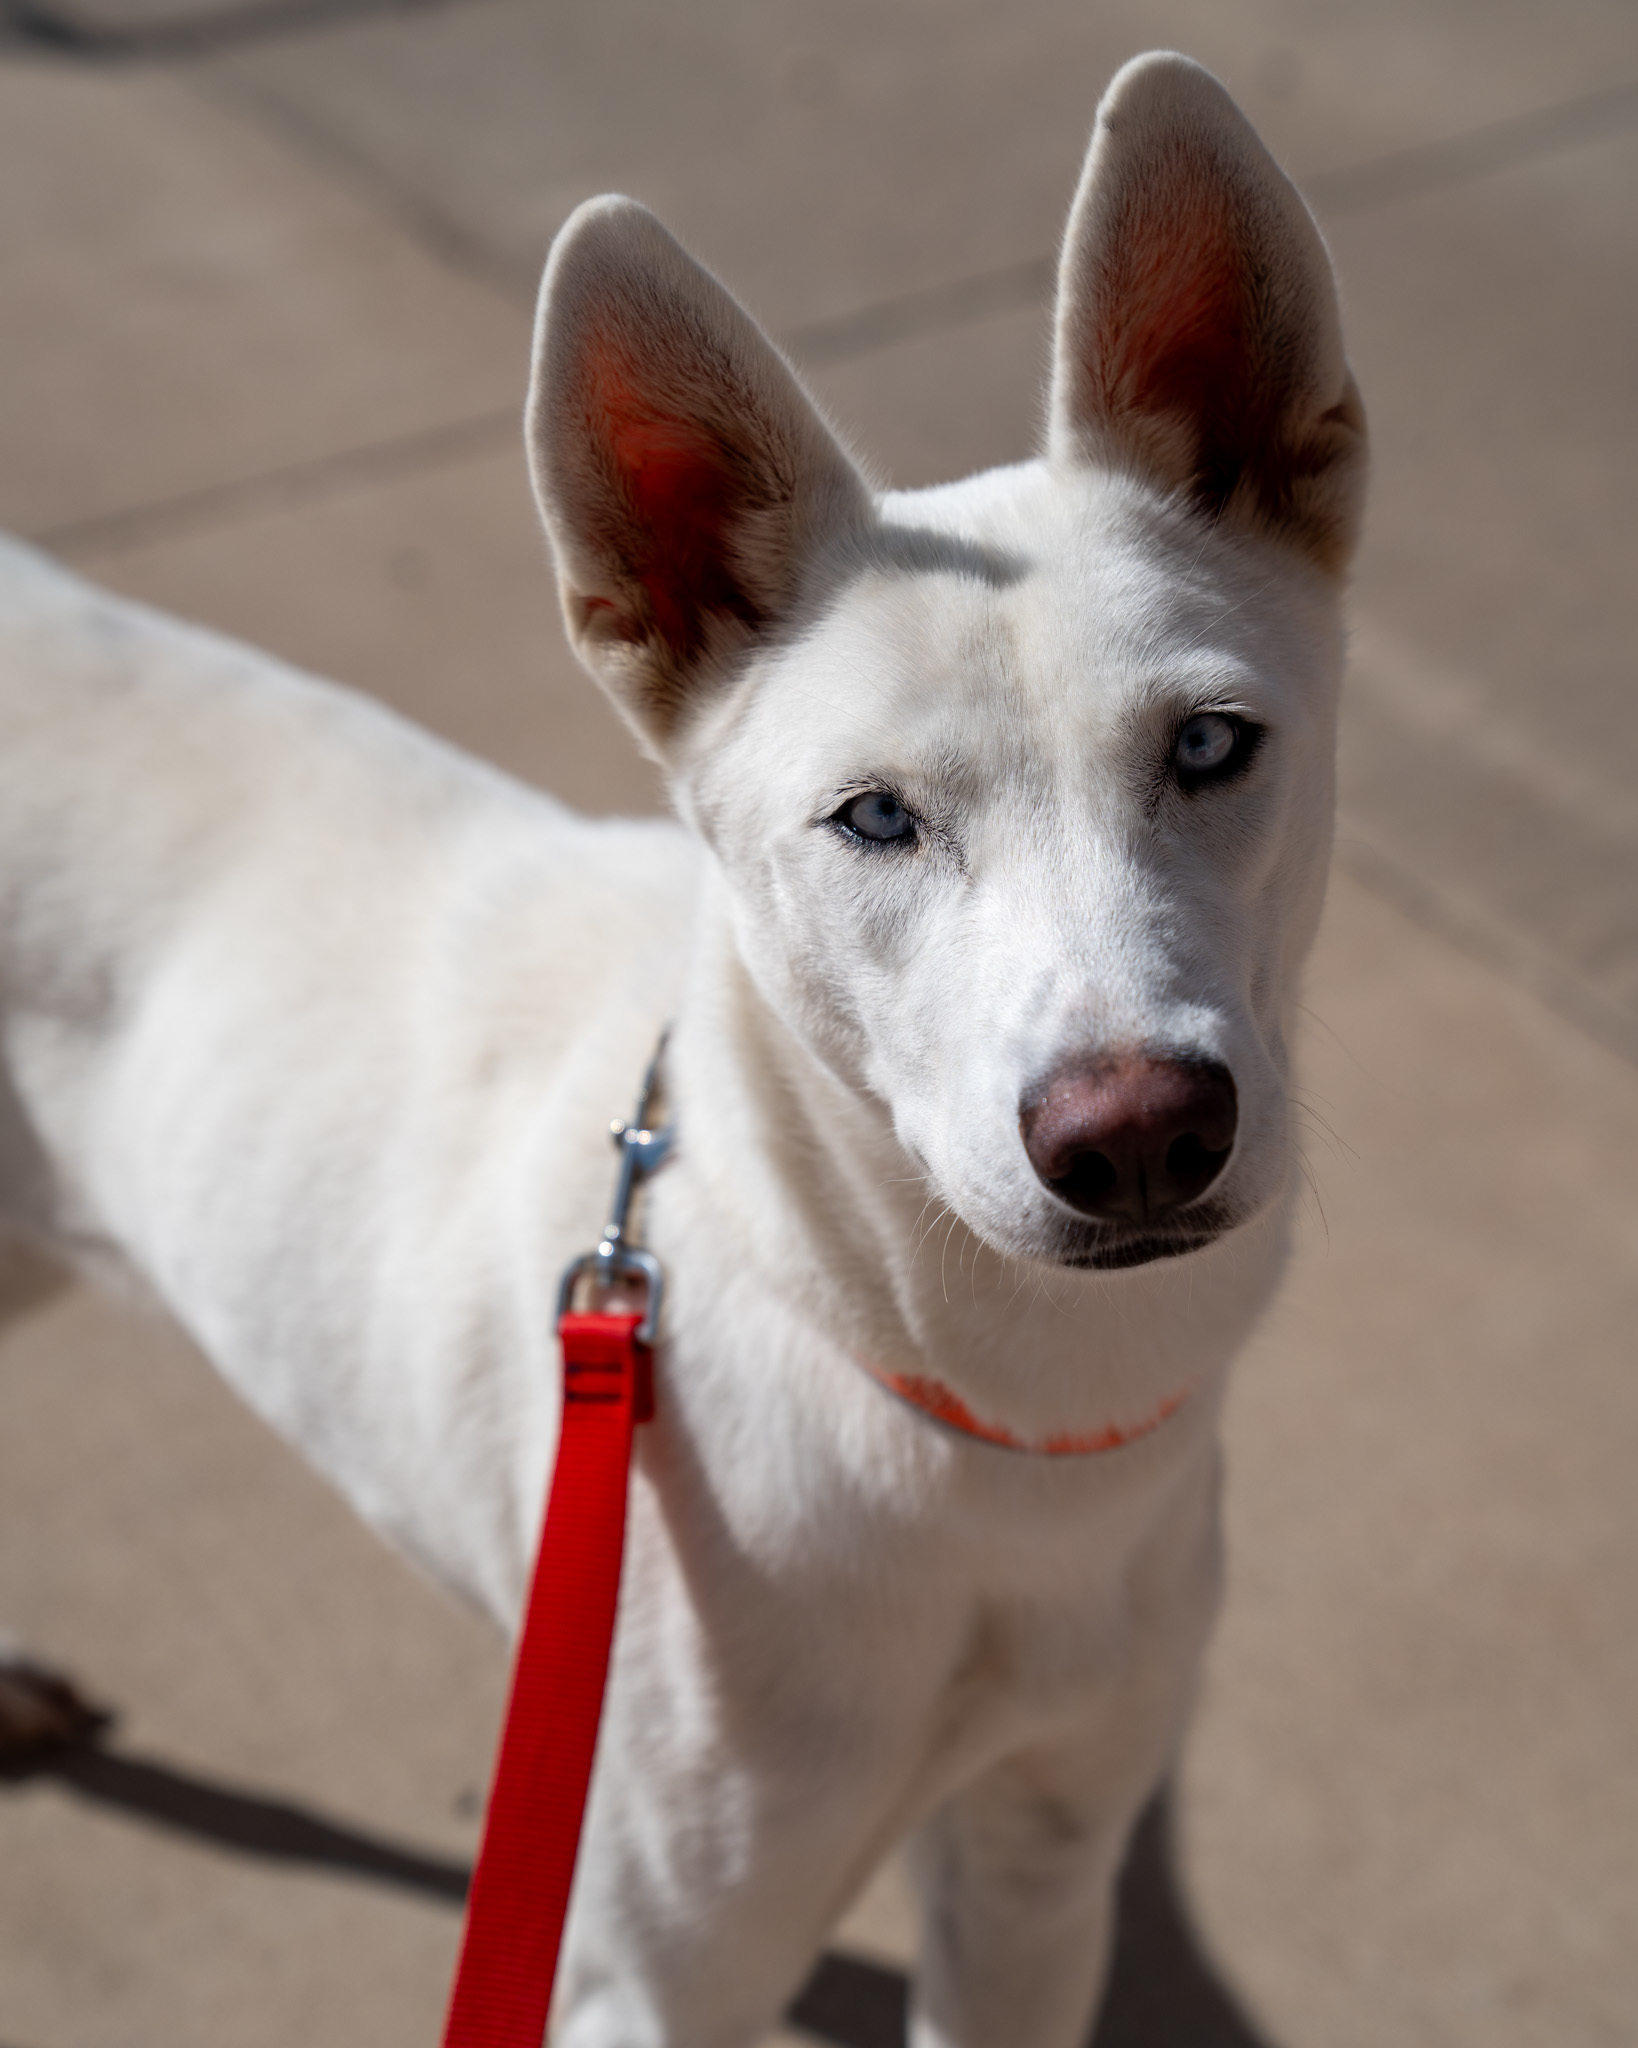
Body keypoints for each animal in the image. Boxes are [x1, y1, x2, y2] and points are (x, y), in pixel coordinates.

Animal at [0, 56, 1359, 2048]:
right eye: (871, 818)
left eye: (1206, 745)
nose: (1131, 1134)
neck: (995, 1424)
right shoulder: (655, 1968)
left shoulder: (1037, 1875)